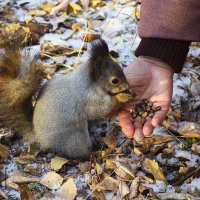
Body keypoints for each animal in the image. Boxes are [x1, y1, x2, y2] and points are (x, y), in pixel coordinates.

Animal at [0, 36, 134, 159]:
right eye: (114, 81)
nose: (128, 85)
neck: (89, 83)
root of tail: (39, 138)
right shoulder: (88, 100)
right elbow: (100, 109)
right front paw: (122, 97)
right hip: (75, 139)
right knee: (80, 153)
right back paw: (95, 153)